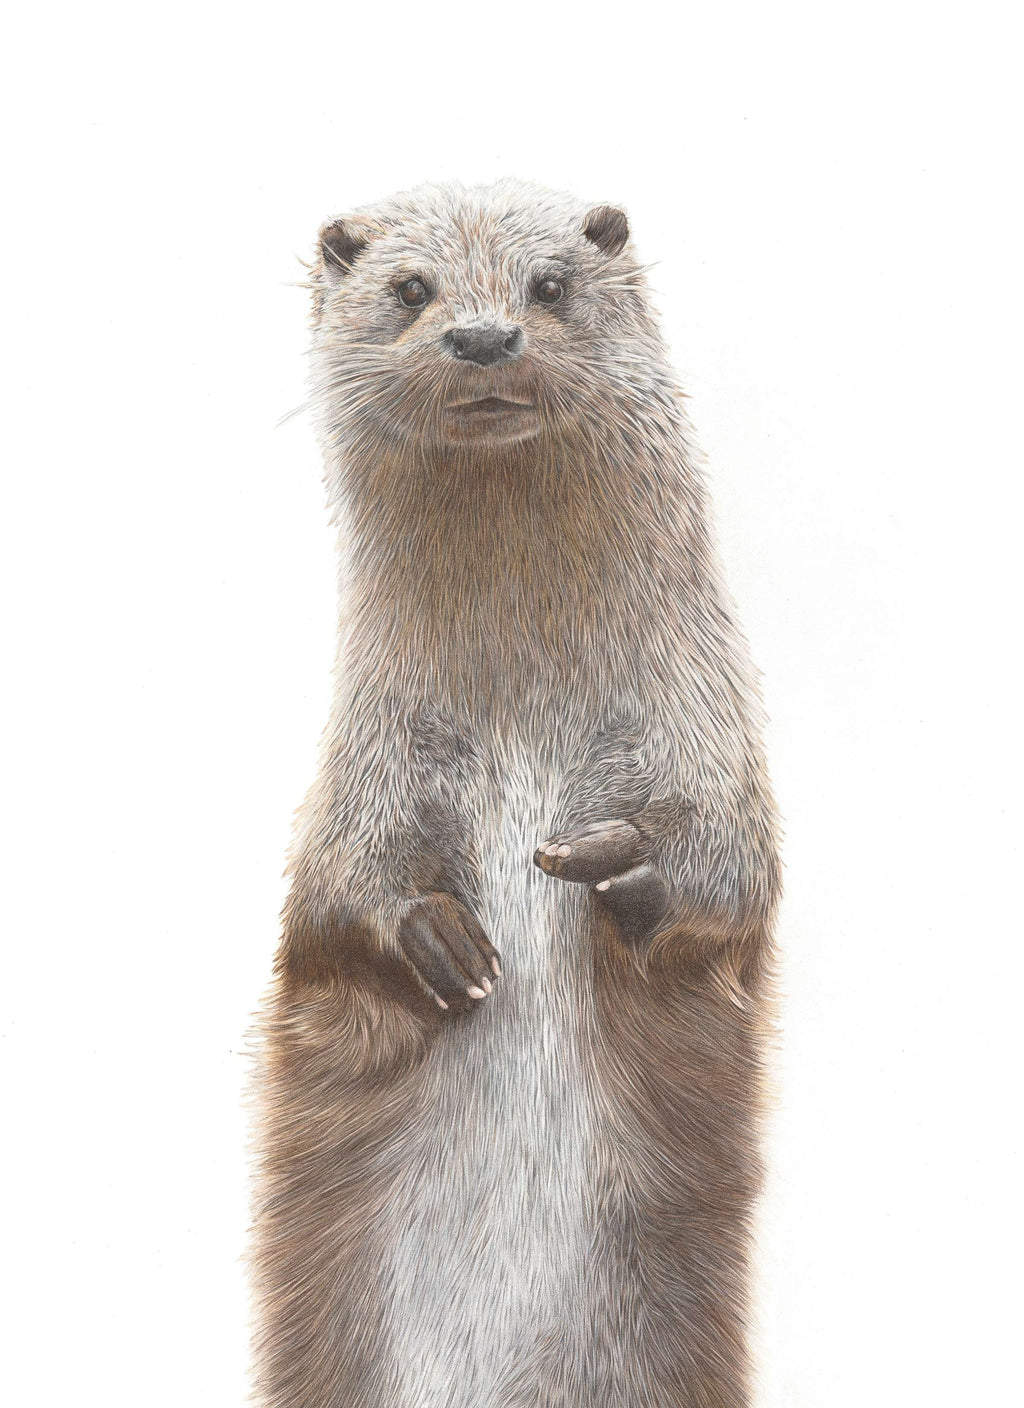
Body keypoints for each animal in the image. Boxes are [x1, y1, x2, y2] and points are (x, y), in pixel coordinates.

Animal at [251, 180, 780, 1408]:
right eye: (410, 288)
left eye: (548, 283)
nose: (485, 336)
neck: (522, 706)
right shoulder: (368, 762)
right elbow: (337, 897)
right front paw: (439, 936)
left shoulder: (705, 725)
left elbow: (728, 871)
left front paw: (607, 863)